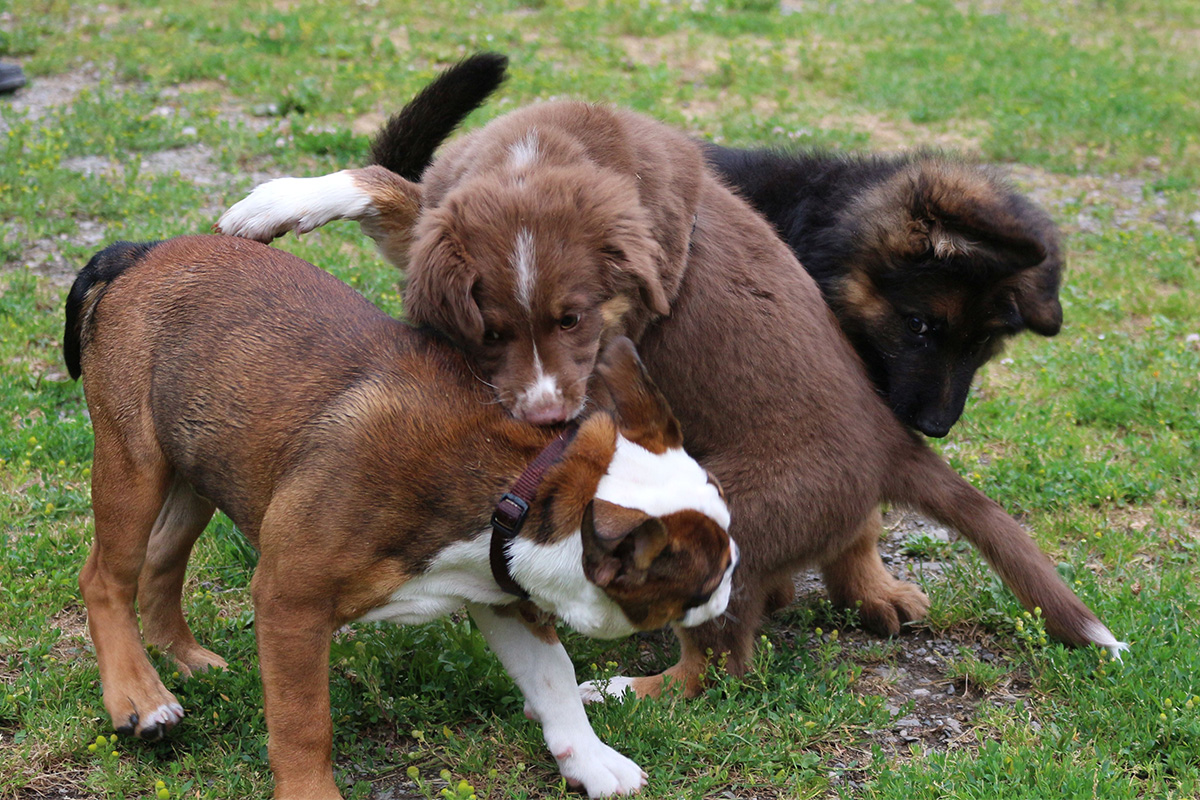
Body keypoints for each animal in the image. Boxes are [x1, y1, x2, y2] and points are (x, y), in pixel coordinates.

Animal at [70, 235, 739, 796]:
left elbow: (555, 683)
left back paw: (181, 656)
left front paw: (593, 761)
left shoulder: (505, 595)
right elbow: (304, 722)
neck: (526, 487)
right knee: (107, 577)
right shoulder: (291, 602)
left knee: (161, 561)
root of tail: (143, 252)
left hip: (198, 469)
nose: (731, 590)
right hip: (134, 465)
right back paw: (138, 693)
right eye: (704, 582)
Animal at [218, 98, 1123, 700]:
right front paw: (274, 205)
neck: (538, 159)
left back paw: (624, 693)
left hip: (731, 521)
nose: (546, 419)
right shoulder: (443, 215)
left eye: (576, 317)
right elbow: (389, 189)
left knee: (719, 666)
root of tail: (892, 440)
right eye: (491, 328)